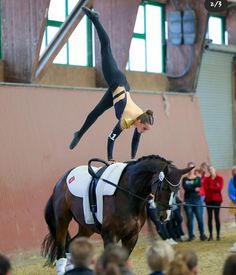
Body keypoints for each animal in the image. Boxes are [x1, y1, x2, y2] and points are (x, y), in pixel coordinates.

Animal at [41, 155, 192, 274]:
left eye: (177, 189)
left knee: (70, 245)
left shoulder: (132, 236)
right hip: (62, 221)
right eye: (164, 187)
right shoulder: (110, 235)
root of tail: (61, 180)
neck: (128, 194)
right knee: (61, 251)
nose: (164, 216)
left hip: (86, 227)